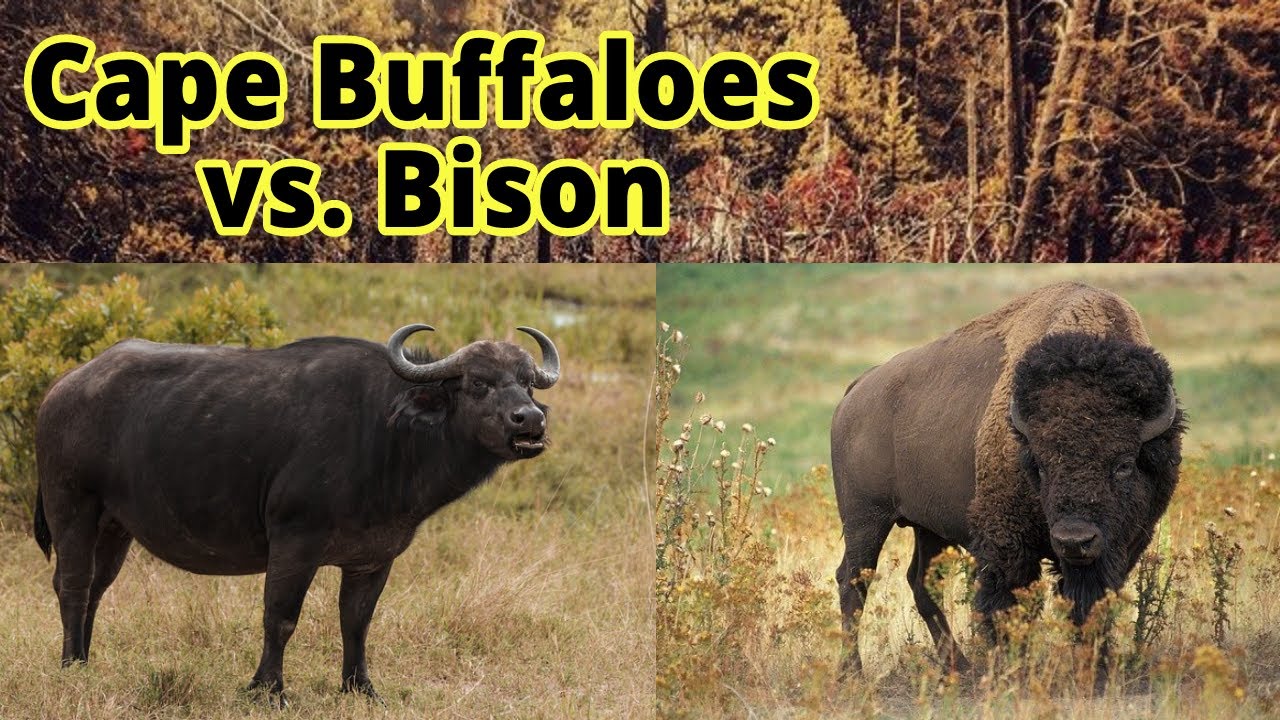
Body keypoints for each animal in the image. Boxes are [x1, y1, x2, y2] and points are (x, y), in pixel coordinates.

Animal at [33, 324, 559, 703]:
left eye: (526, 383)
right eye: (477, 383)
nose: (530, 421)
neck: (385, 433)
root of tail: (62, 388)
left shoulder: (374, 558)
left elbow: (357, 621)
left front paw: (360, 688)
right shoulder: (294, 543)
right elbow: (280, 617)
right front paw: (268, 690)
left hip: (115, 527)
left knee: (97, 589)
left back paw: (85, 661)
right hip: (72, 507)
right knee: (73, 585)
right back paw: (68, 665)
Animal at [831, 282, 1183, 675]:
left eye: (1123, 464)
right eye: (1040, 465)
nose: (1074, 540)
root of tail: (857, 389)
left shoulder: (1123, 545)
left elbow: (1091, 603)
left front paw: (1095, 667)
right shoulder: (1007, 543)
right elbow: (1007, 605)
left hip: (928, 527)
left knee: (921, 582)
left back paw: (960, 667)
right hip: (865, 519)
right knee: (853, 580)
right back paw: (853, 672)